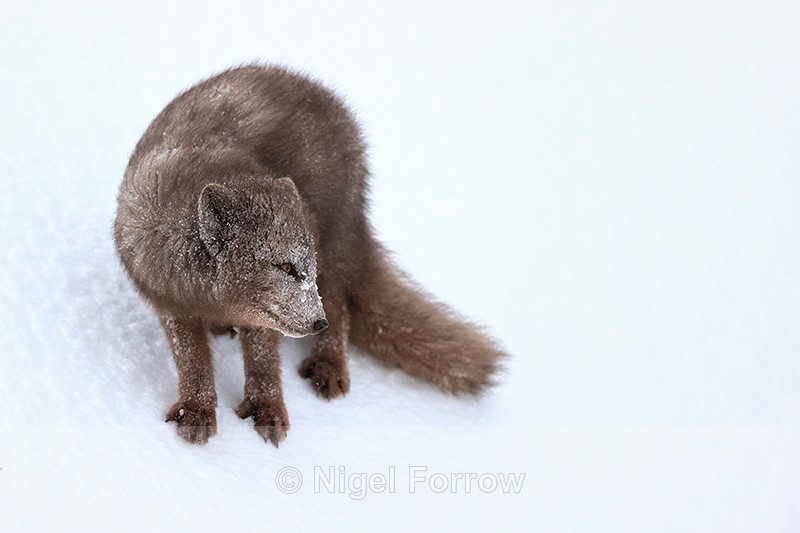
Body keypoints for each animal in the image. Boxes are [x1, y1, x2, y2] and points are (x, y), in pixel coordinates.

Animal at [114, 64, 507, 445]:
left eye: (303, 267)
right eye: (285, 266)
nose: (319, 323)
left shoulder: (267, 312)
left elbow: (264, 360)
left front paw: (268, 410)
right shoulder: (170, 302)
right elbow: (192, 361)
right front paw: (196, 412)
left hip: (333, 244)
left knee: (340, 304)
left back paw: (329, 366)